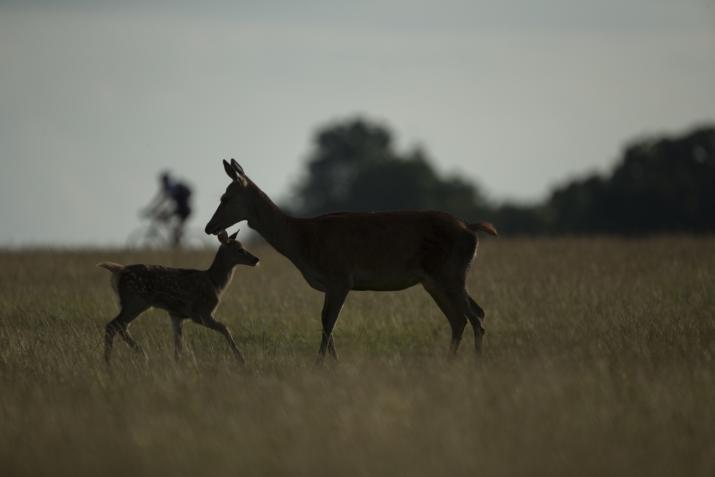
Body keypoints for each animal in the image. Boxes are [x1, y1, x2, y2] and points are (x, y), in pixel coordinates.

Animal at [207, 160, 498, 360]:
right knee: (461, 317)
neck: (303, 242)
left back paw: (475, 363)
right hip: (435, 280)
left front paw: (321, 364)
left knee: (475, 315)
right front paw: (332, 363)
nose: (209, 227)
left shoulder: (340, 277)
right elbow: (327, 323)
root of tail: (471, 229)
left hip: (451, 274)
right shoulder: (332, 284)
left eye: (225, 197)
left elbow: (327, 322)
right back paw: (451, 362)